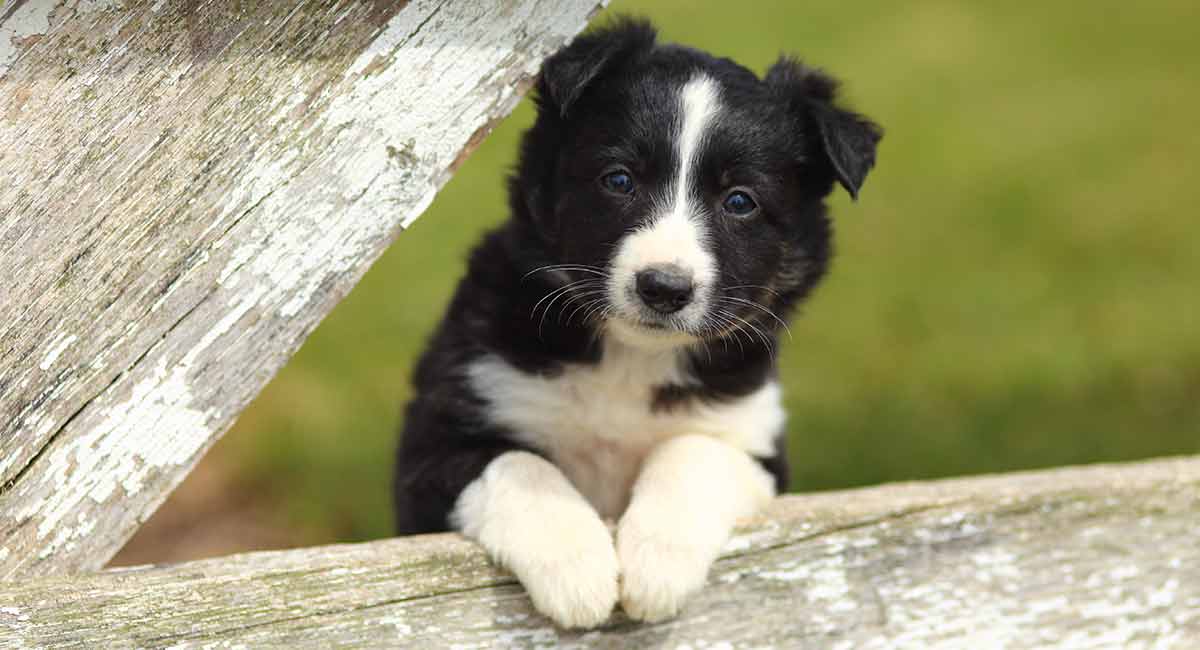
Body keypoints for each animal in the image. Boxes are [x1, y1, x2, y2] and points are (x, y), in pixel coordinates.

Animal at [393, 19, 883, 633]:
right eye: (619, 179)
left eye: (740, 201)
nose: (664, 288)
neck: (630, 356)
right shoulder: (436, 438)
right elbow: (519, 464)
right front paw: (577, 569)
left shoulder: (754, 441)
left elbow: (692, 452)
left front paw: (656, 566)